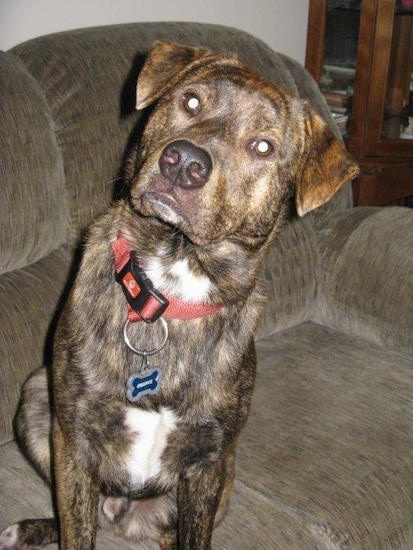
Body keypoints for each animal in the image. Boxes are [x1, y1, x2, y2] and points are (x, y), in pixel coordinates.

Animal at [0, 40, 358, 550]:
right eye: (191, 101)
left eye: (263, 146)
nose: (185, 162)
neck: (171, 281)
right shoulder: (74, 438)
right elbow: (76, 528)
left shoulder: (207, 461)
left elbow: (195, 533)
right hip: (35, 395)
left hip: (225, 472)